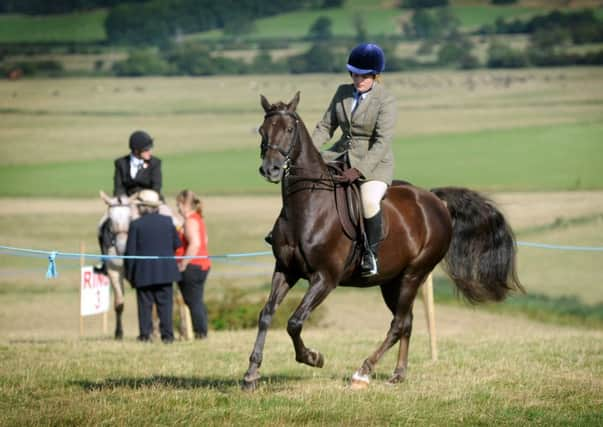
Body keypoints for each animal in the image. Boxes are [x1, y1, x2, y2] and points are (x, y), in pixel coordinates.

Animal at [241, 93, 524, 392]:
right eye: (262, 130)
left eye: (288, 130)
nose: (270, 169)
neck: (307, 207)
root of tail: (435, 201)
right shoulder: (286, 270)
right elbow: (266, 314)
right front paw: (251, 375)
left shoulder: (324, 278)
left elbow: (294, 322)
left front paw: (313, 357)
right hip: (391, 281)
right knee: (406, 321)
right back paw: (398, 373)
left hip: (414, 274)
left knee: (398, 323)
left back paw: (363, 372)